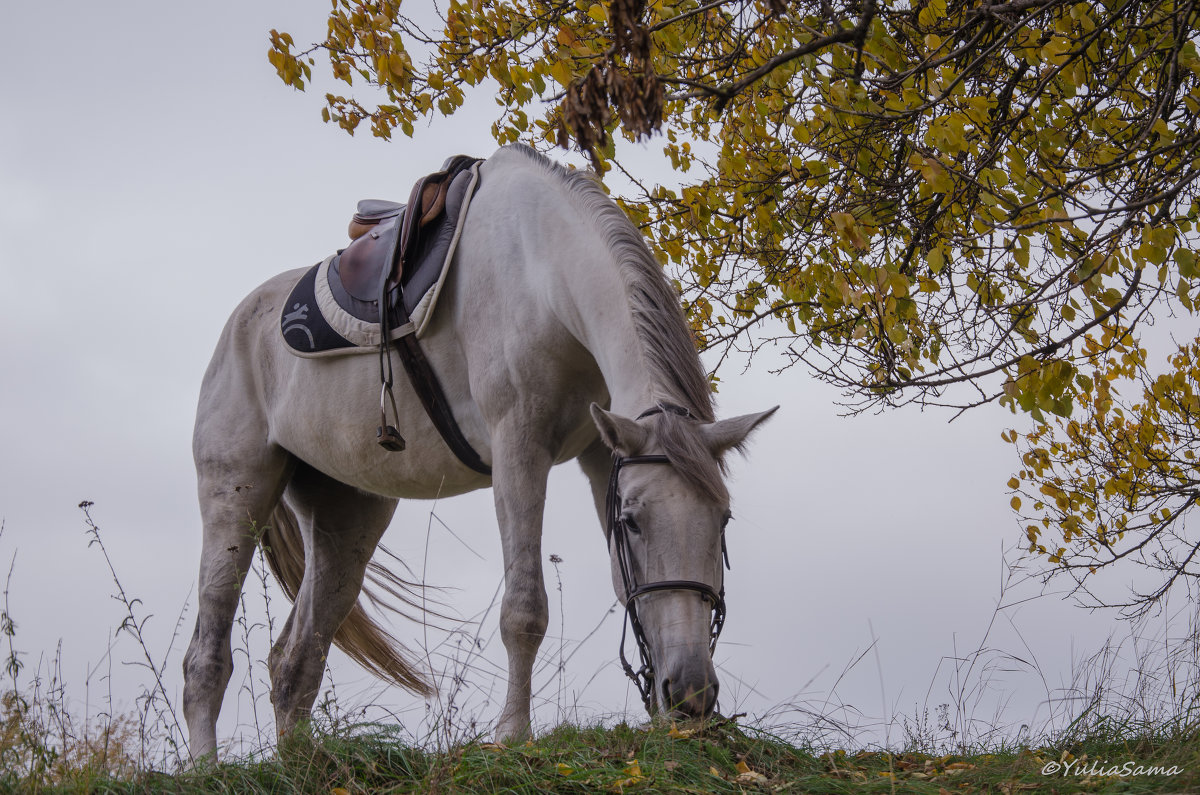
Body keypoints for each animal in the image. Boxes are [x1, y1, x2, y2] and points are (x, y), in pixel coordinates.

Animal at [181, 143, 772, 758]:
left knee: (295, 661)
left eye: (723, 521)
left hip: (346, 520)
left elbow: (619, 581)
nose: (692, 693)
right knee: (206, 657)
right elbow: (524, 609)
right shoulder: (519, 446)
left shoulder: (601, 455)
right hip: (237, 497)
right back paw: (206, 767)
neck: (542, 273)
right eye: (632, 522)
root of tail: (240, 324)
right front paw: (512, 734)